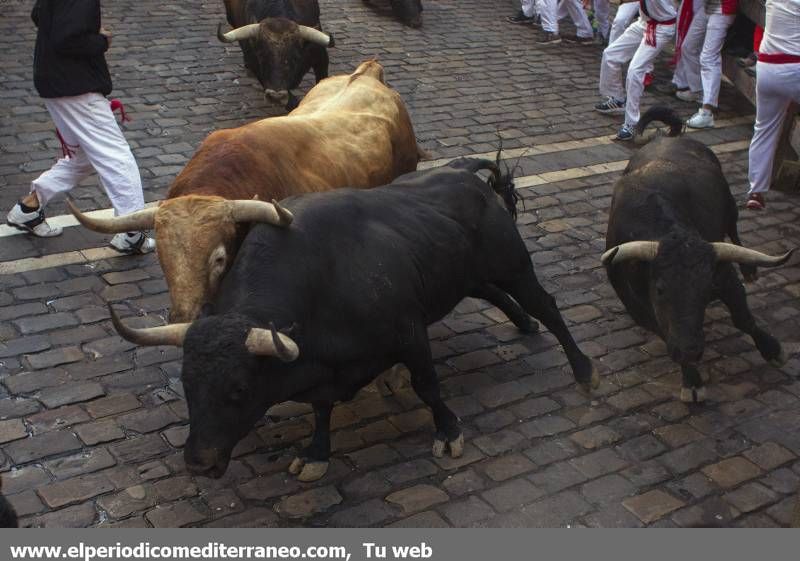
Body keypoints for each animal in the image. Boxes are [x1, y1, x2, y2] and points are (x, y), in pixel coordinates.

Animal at [114, 159, 600, 482]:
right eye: (187, 385)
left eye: (238, 389)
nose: (198, 462)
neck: (321, 280)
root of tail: (464, 173)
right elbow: (321, 408)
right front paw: (316, 453)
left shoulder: (409, 334)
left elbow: (427, 385)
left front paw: (448, 432)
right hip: (464, 276)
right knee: (499, 296)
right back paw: (524, 325)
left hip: (513, 264)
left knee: (547, 305)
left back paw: (582, 368)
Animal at [604, 105, 792, 402]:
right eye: (660, 289)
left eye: (706, 289)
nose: (691, 349)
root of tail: (669, 137)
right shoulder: (636, 306)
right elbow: (662, 330)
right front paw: (691, 380)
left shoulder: (723, 274)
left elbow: (743, 318)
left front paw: (773, 349)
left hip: (730, 209)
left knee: (734, 230)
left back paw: (750, 270)